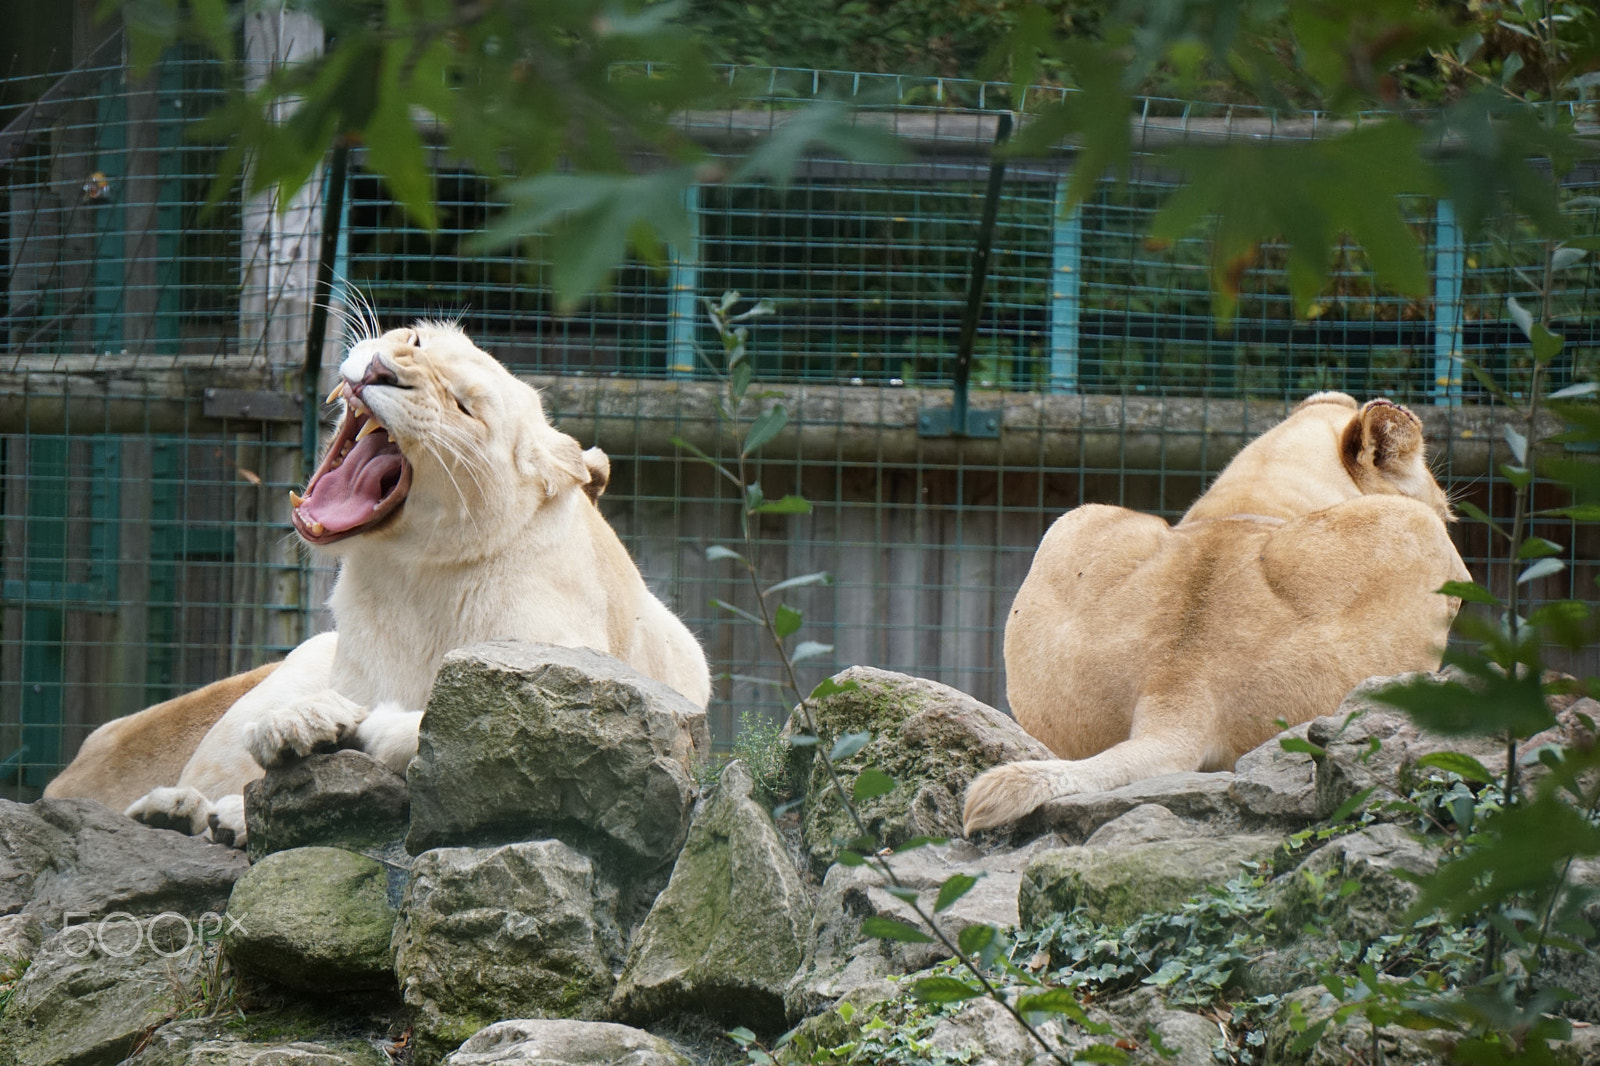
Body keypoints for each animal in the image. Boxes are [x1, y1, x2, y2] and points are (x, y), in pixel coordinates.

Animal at [114, 323, 709, 845]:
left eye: (465, 406)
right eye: (415, 340)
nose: (380, 369)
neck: (411, 581)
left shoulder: (579, 702)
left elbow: (440, 731)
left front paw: (351, 726)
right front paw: (297, 723)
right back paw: (173, 810)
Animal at [962, 392, 1470, 834]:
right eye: (1449, 515)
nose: (1452, 525)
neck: (1255, 499)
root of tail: (1178, 691)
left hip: (1073, 523)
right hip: (1413, 535)